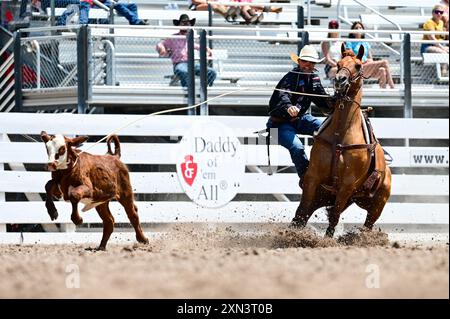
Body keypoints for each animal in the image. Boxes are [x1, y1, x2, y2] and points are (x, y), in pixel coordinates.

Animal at [292, 43, 390, 238]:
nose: (340, 80)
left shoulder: (347, 185)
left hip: (376, 205)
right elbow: (301, 212)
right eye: (338, 63)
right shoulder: (313, 178)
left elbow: (334, 217)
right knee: (304, 213)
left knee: (366, 225)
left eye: (358, 65)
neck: (341, 133)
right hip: (325, 195)